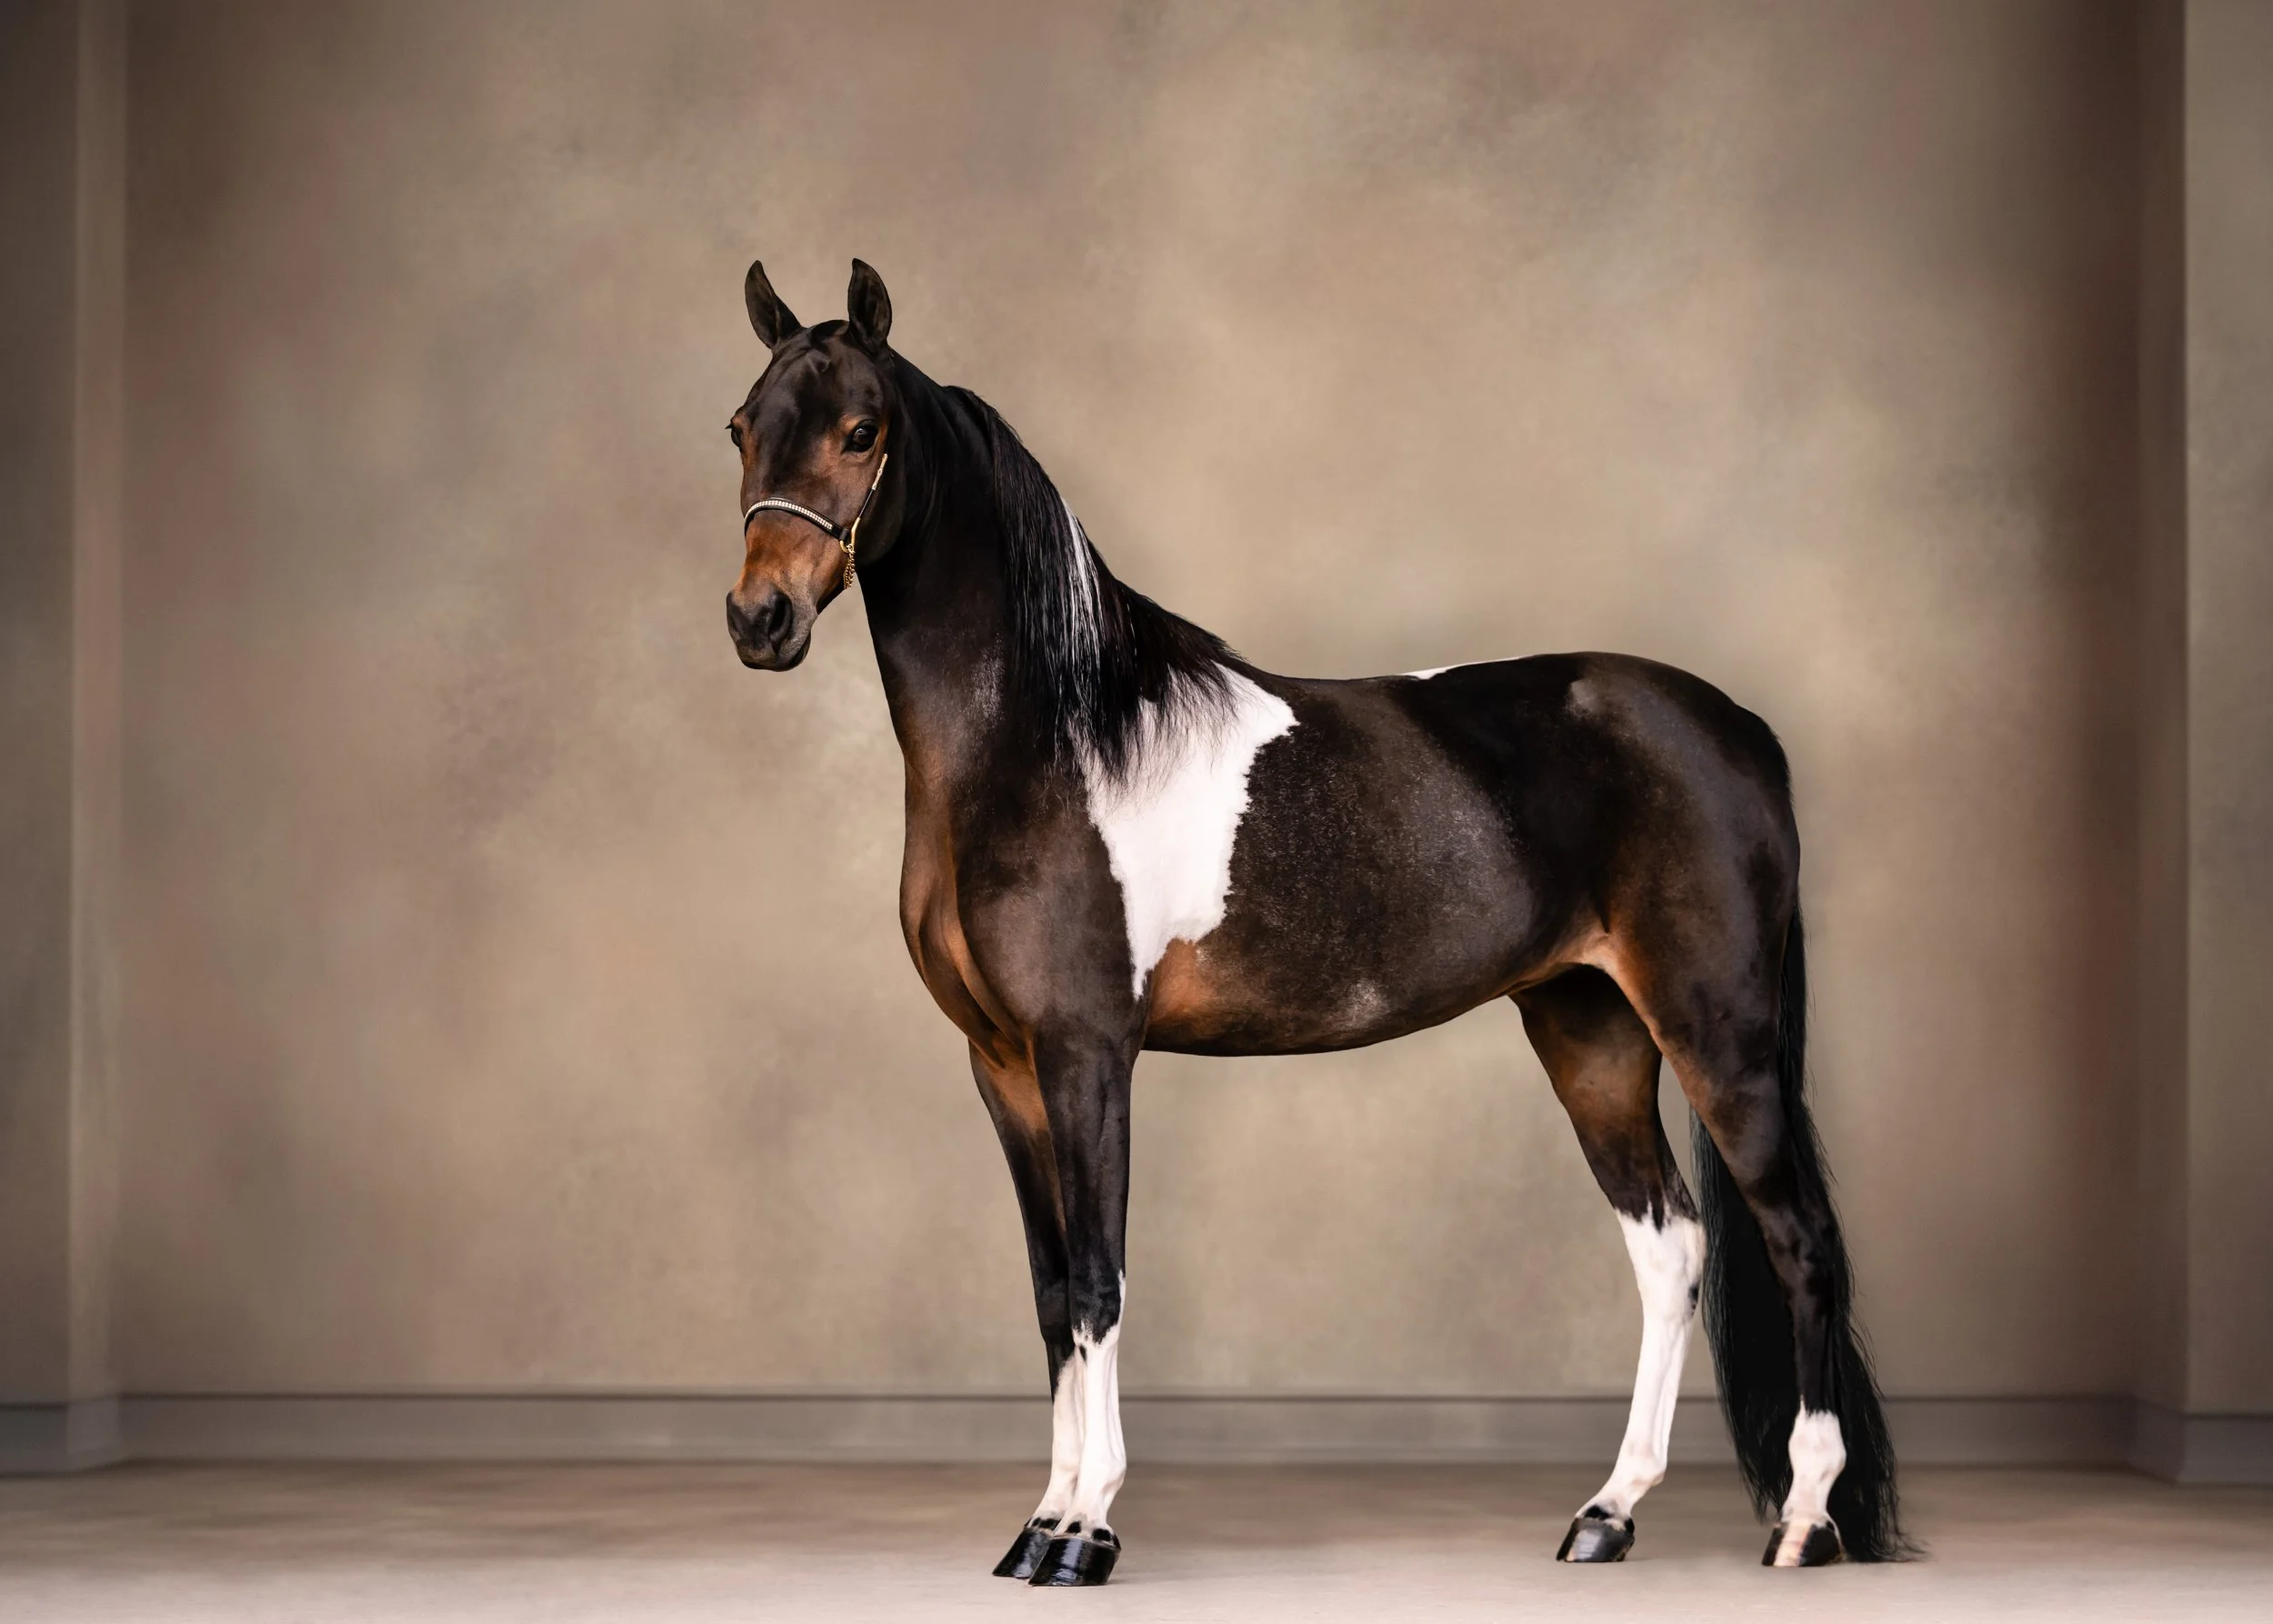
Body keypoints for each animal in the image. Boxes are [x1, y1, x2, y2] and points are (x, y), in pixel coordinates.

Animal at [721, 258, 1908, 1587]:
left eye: (861, 430)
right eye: (741, 426)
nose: (760, 617)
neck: (1053, 738)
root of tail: (1741, 729)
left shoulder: (1089, 1054)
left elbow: (1099, 1281)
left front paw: (1084, 1531)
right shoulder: (1003, 1067)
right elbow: (1049, 1293)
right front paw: (1037, 1524)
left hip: (1717, 1031)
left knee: (1801, 1242)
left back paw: (1804, 1522)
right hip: (1591, 1031)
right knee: (1672, 1250)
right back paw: (1608, 1512)